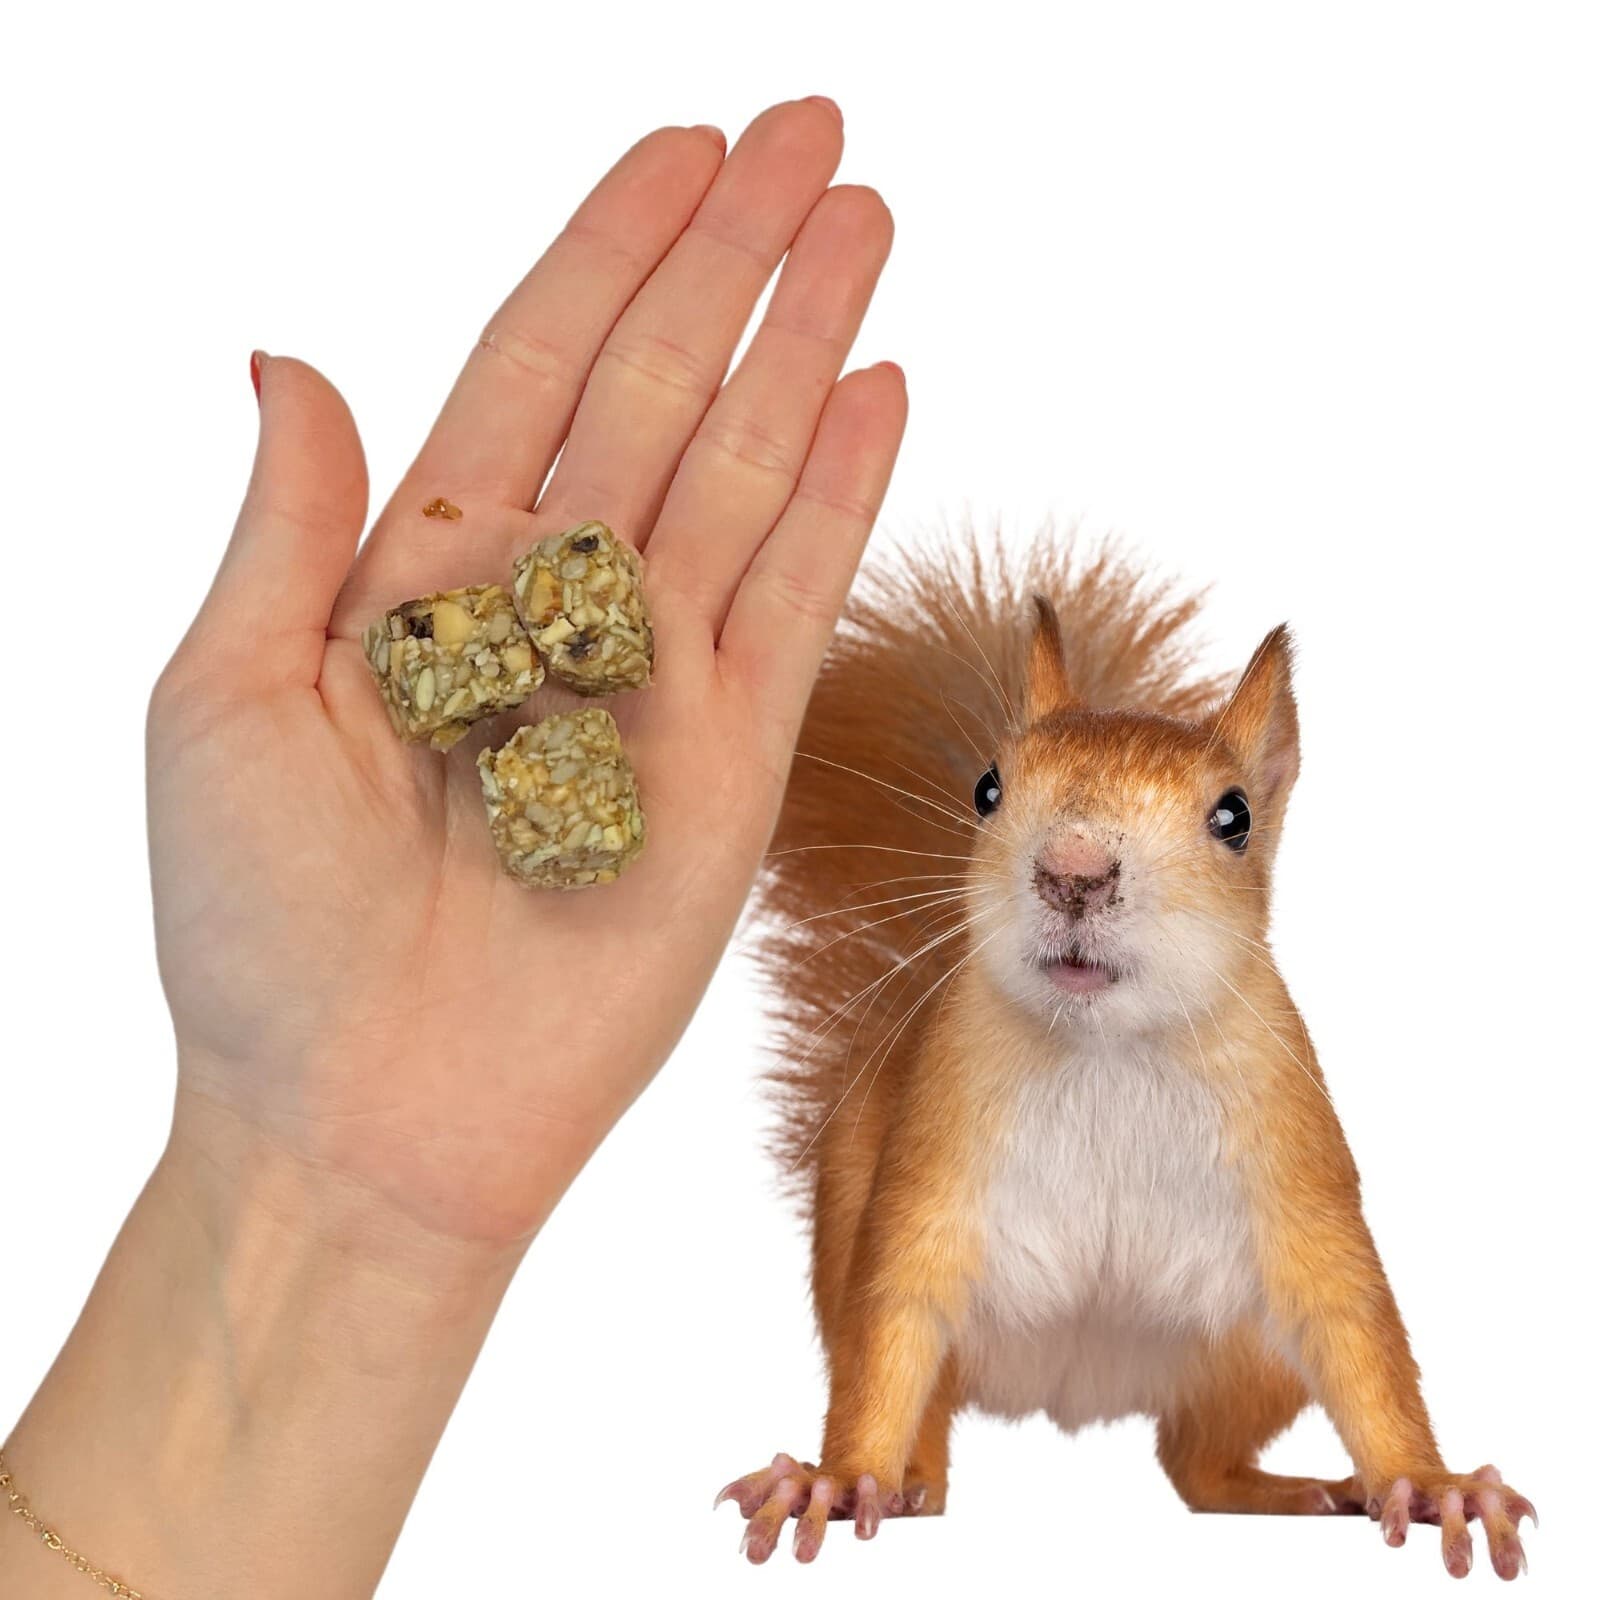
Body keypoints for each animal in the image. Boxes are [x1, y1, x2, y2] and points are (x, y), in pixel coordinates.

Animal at [713, 534, 1534, 1579]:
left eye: (1234, 817)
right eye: (988, 788)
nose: (1073, 871)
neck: (1104, 1049)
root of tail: (1080, 1387)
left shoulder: (1297, 1160)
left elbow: (1354, 1327)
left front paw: (1430, 1486)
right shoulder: (932, 1164)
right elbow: (896, 1315)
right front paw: (838, 1477)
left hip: (1246, 1360)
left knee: (1198, 1464)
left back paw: (1301, 1490)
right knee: (931, 1435)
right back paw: (899, 1487)